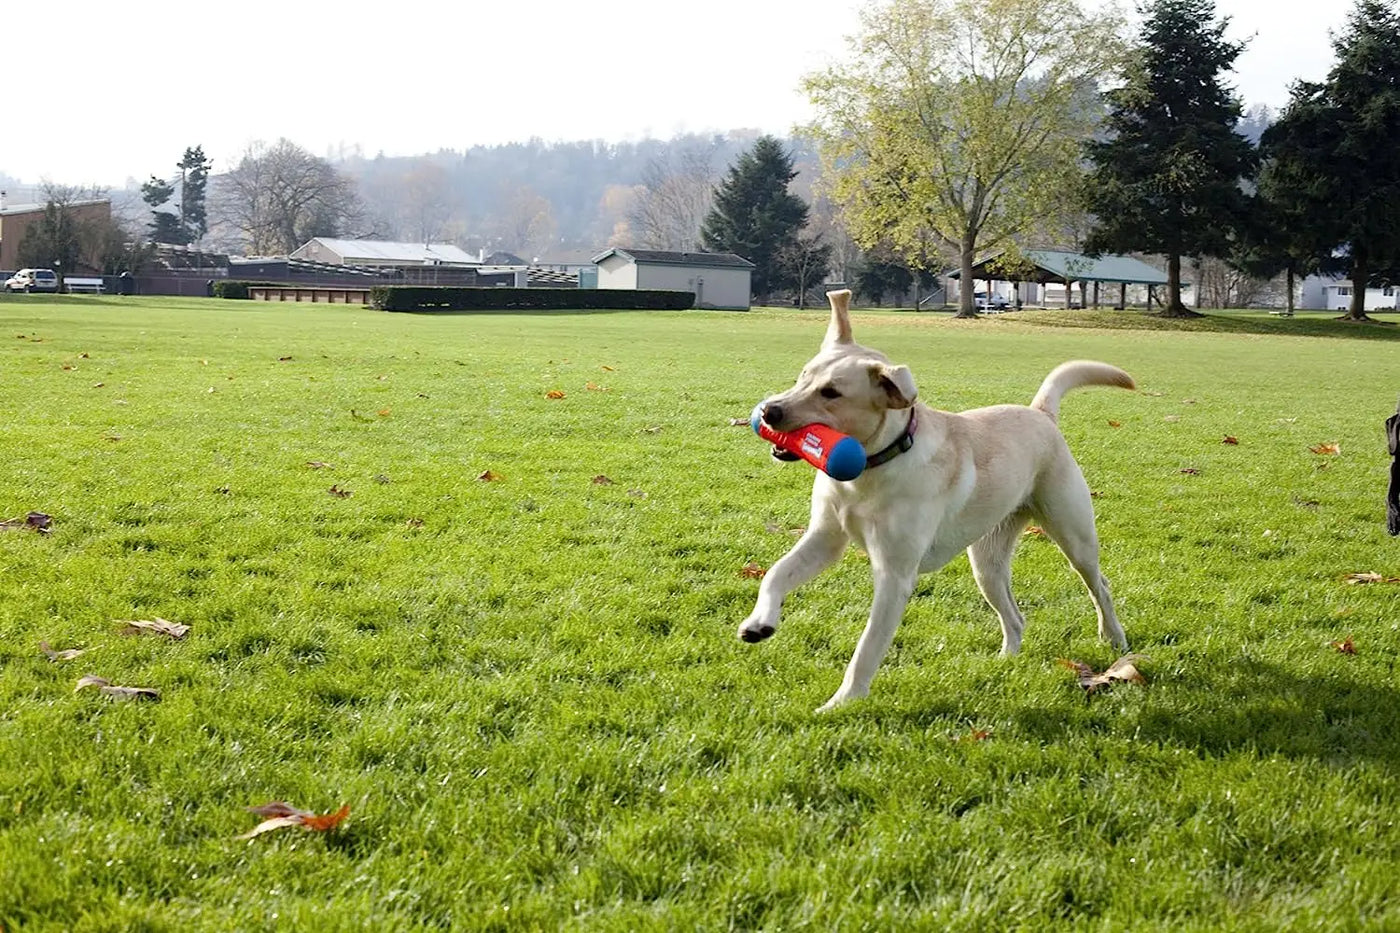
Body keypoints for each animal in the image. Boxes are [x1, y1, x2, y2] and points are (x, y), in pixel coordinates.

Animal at [739, 287, 1131, 708]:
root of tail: (1040, 413)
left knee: (1100, 586)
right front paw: (759, 623)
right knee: (1015, 616)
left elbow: (868, 647)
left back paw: (1115, 639)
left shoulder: (894, 574)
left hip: (1074, 535)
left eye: (832, 392)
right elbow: (776, 573)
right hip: (987, 563)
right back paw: (1006, 660)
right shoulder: (825, 538)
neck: (869, 470)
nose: (769, 410)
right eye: (802, 377)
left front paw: (842, 702)